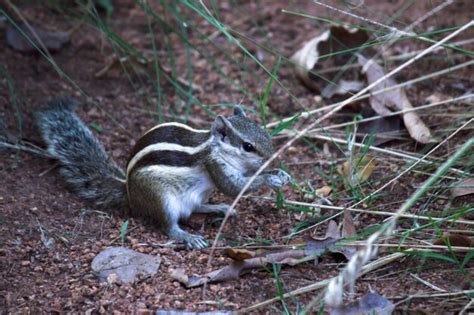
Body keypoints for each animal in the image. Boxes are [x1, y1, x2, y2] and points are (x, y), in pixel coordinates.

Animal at [36, 97, 288, 251]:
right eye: (248, 146)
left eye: (264, 132)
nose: (273, 158)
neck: (214, 146)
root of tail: (130, 194)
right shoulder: (214, 165)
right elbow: (234, 187)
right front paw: (270, 178)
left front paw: (280, 173)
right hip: (161, 198)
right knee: (169, 226)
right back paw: (188, 236)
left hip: (196, 194)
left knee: (195, 208)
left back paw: (218, 208)